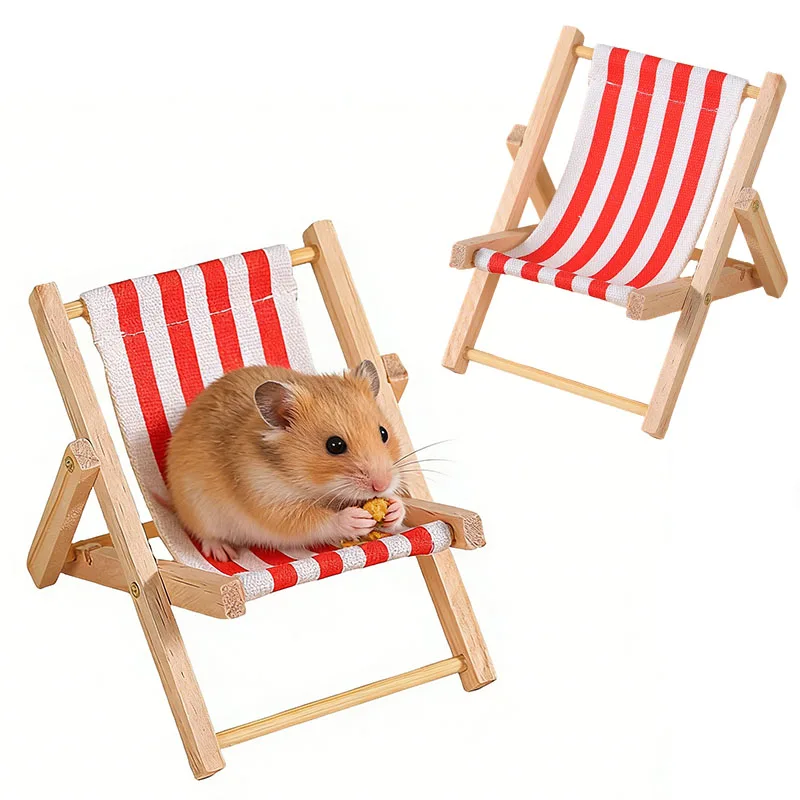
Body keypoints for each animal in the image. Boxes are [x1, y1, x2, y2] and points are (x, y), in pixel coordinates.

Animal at [165, 360, 406, 562]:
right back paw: (224, 554)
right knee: (206, 535)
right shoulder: (269, 502)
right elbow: (313, 521)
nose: (381, 485)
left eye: (383, 433)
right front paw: (356, 520)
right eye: (335, 445)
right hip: (198, 510)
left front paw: (394, 509)